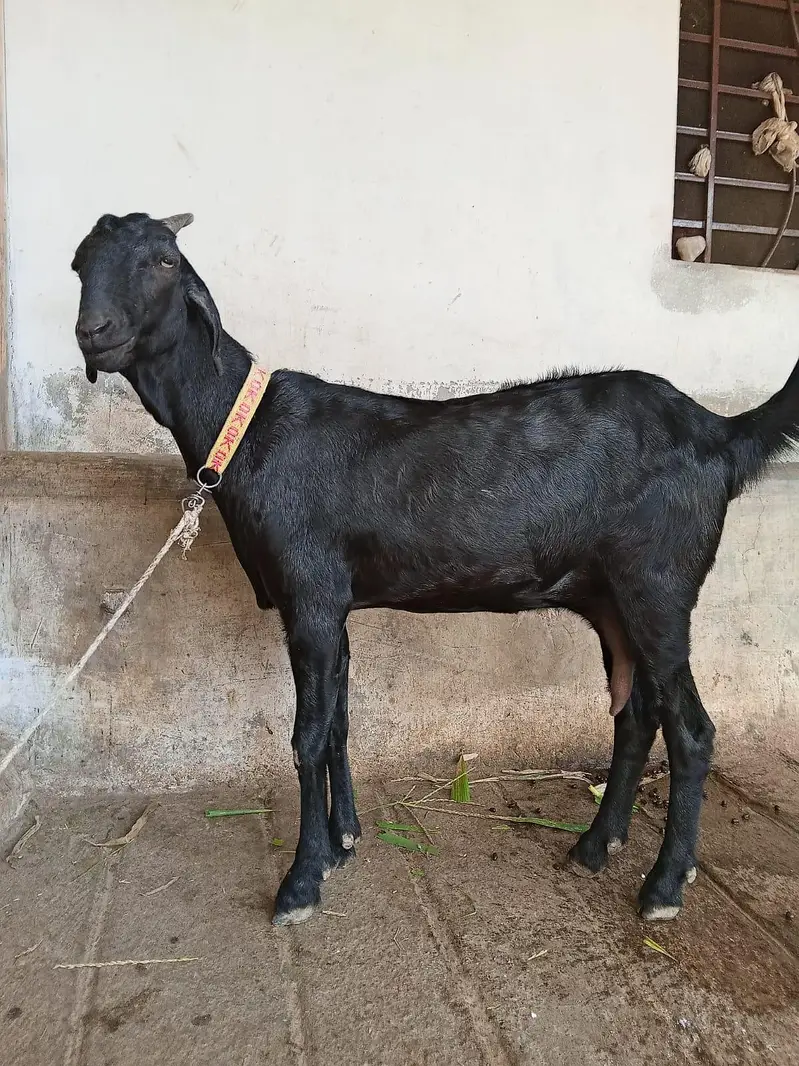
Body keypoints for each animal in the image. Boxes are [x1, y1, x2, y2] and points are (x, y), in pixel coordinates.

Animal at [72, 211, 798, 926]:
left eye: (165, 261)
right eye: (79, 262)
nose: (93, 333)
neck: (246, 428)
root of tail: (719, 433)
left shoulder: (309, 593)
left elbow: (308, 735)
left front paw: (302, 881)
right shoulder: (335, 603)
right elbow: (339, 721)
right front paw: (343, 842)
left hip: (658, 584)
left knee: (691, 730)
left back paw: (665, 886)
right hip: (611, 597)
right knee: (636, 712)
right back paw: (595, 846)